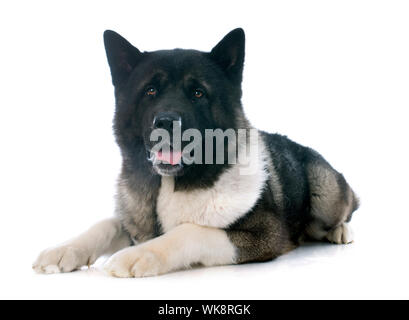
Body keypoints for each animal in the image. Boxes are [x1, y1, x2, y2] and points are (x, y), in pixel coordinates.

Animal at [32, 28, 356, 278]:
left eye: (198, 93)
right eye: (150, 91)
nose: (165, 121)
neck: (171, 183)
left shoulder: (265, 235)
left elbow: (190, 230)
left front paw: (140, 254)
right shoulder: (133, 219)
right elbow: (107, 224)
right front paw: (64, 249)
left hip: (326, 188)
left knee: (347, 206)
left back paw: (340, 232)